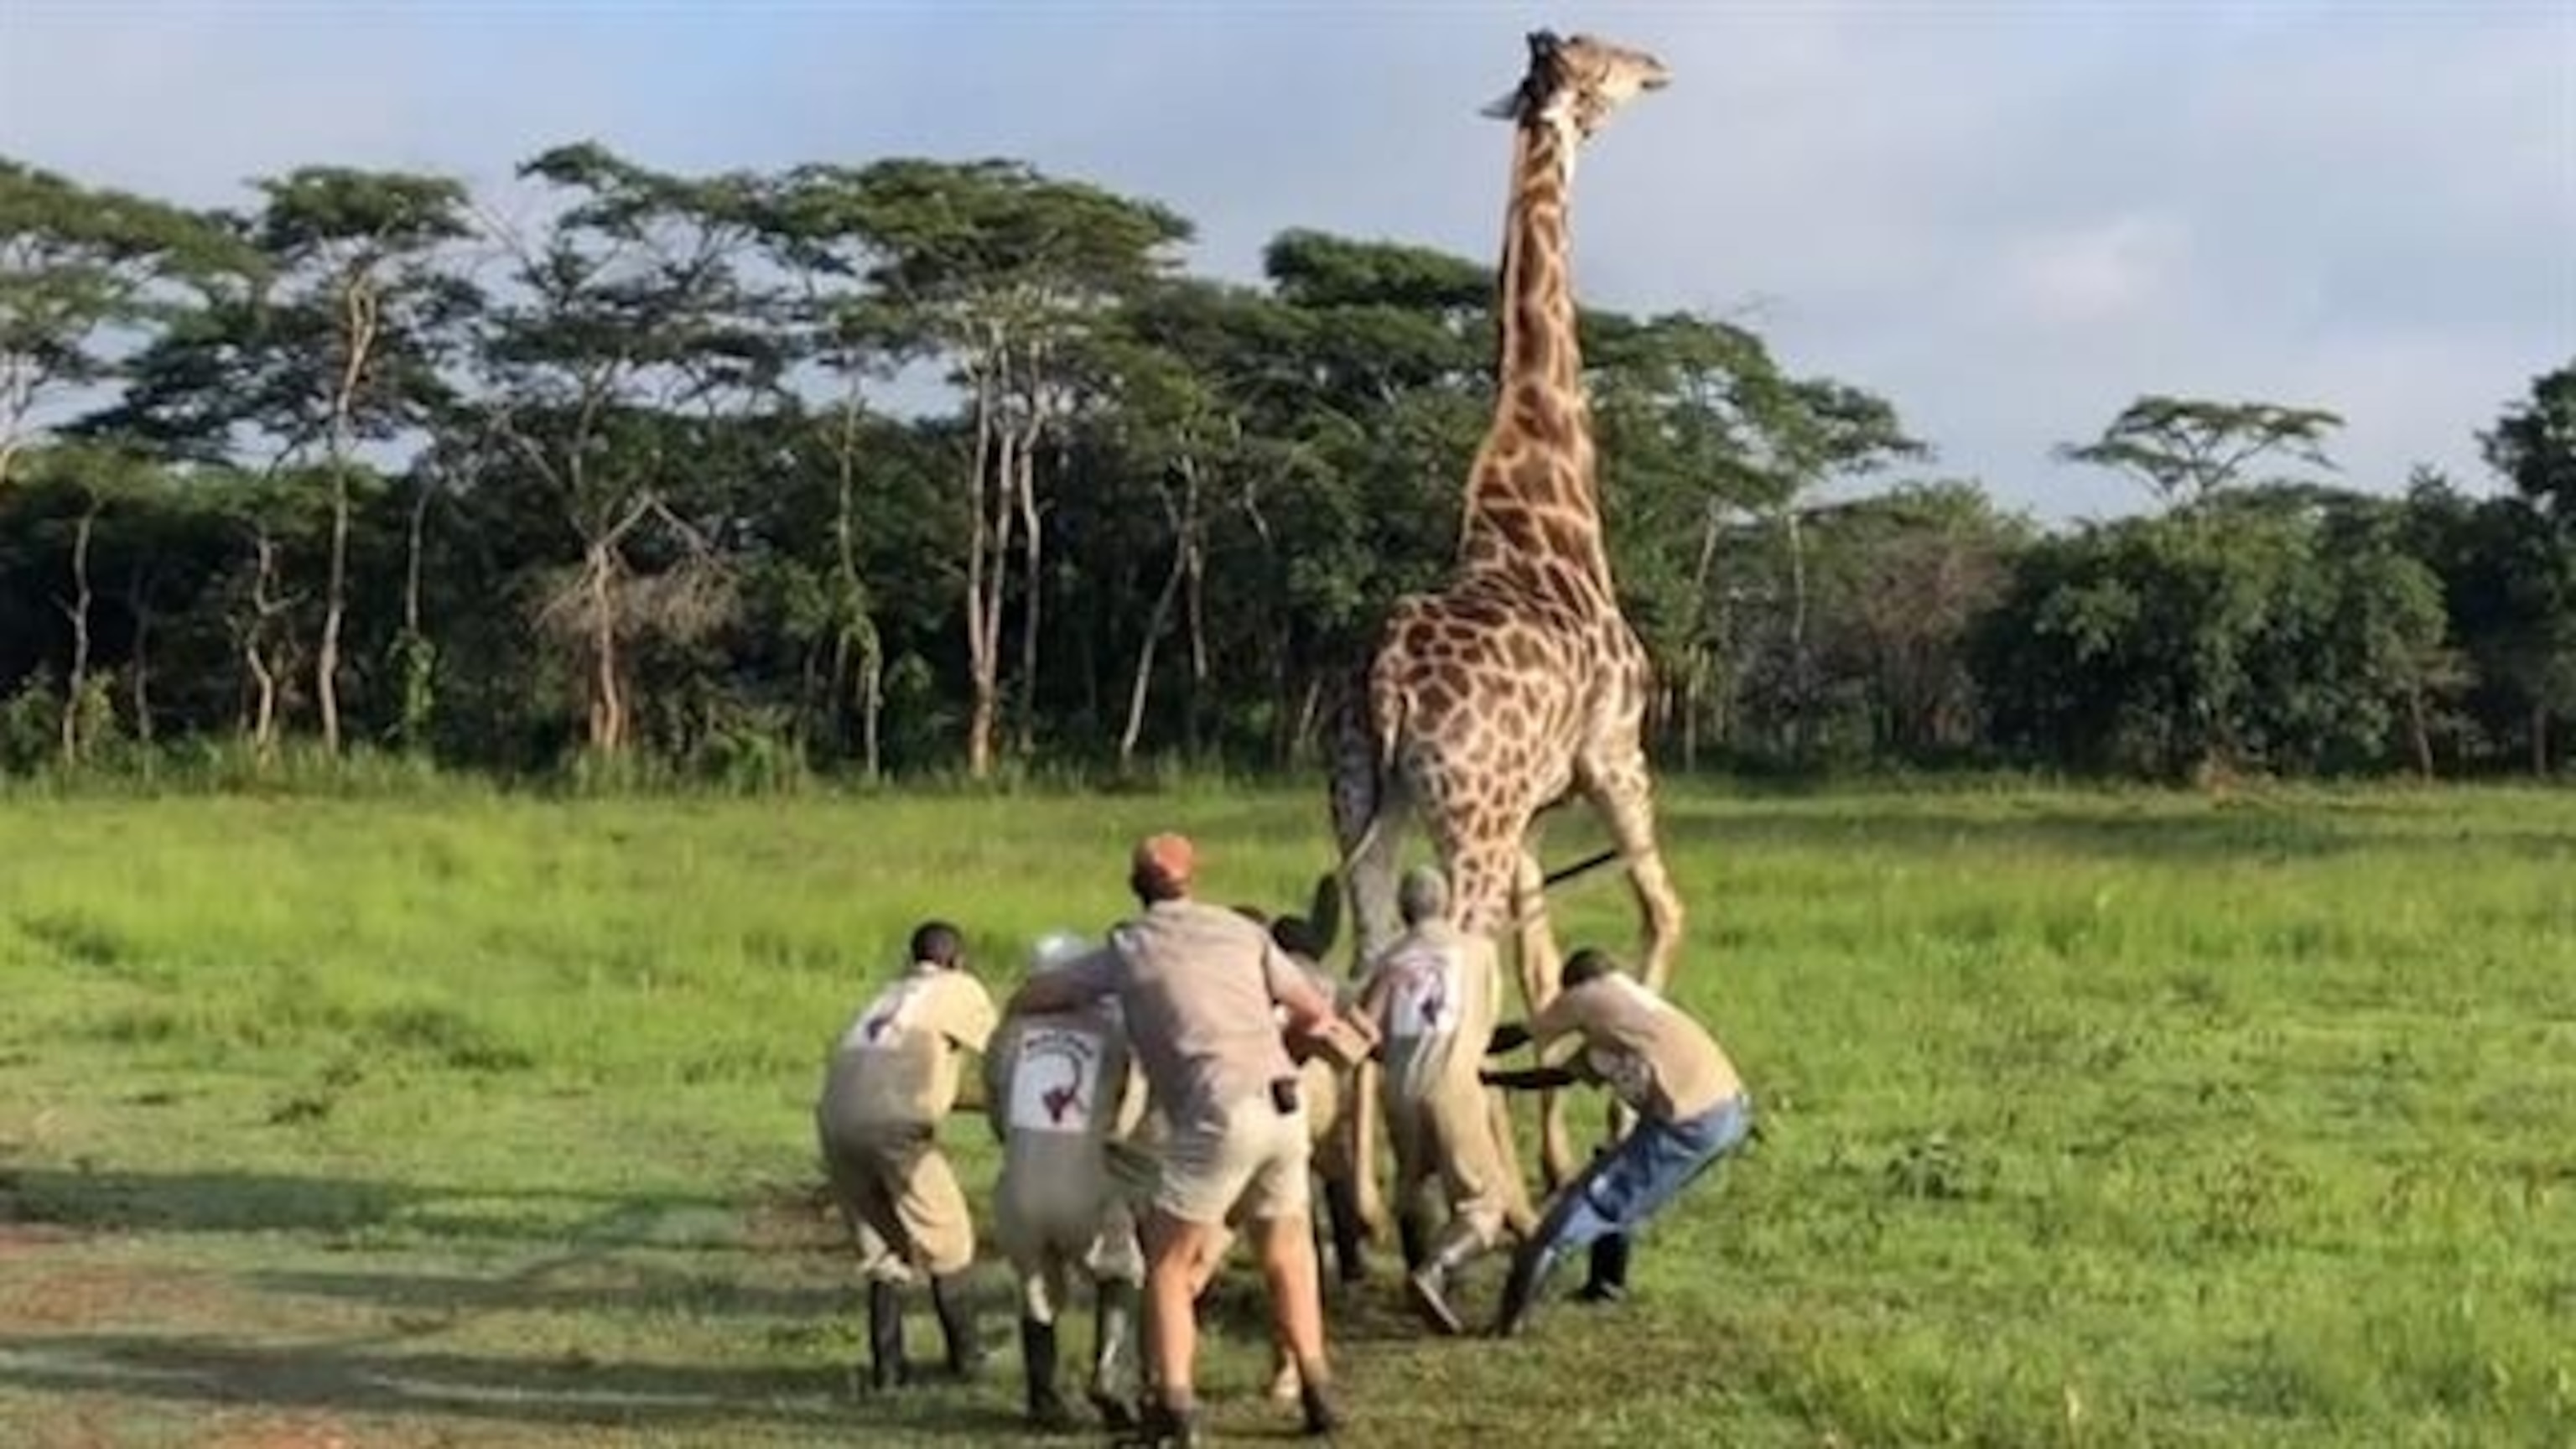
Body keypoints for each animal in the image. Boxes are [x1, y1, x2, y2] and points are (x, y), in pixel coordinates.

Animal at [1332, 30, 1682, 1203]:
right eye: (1608, 65)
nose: (1661, 67)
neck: (1546, 502)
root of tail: (1388, 679)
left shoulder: (1533, 812)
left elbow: (1539, 959)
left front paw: (1565, 1143)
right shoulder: (1618, 755)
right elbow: (1658, 912)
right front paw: (1612, 1124)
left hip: (1369, 803)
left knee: (1366, 974)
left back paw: (1363, 1201)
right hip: (1468, 820)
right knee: (1440, 976)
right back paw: (1465, 1196)